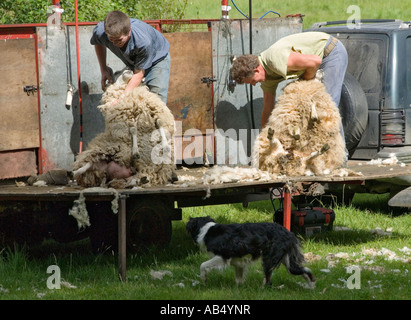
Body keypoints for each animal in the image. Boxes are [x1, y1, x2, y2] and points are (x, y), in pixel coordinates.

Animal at [187, 215, 316, 288]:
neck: (206, 229)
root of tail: (289, 234)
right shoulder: (238, 263)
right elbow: (239, 278)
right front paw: (238, 289)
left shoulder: (223, 256)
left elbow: (203, 265)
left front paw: (204, 280)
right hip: (287, 260)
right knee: (305, 271)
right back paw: (311, 287)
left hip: (268, 259)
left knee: (268, 280)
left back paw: (262, 289)